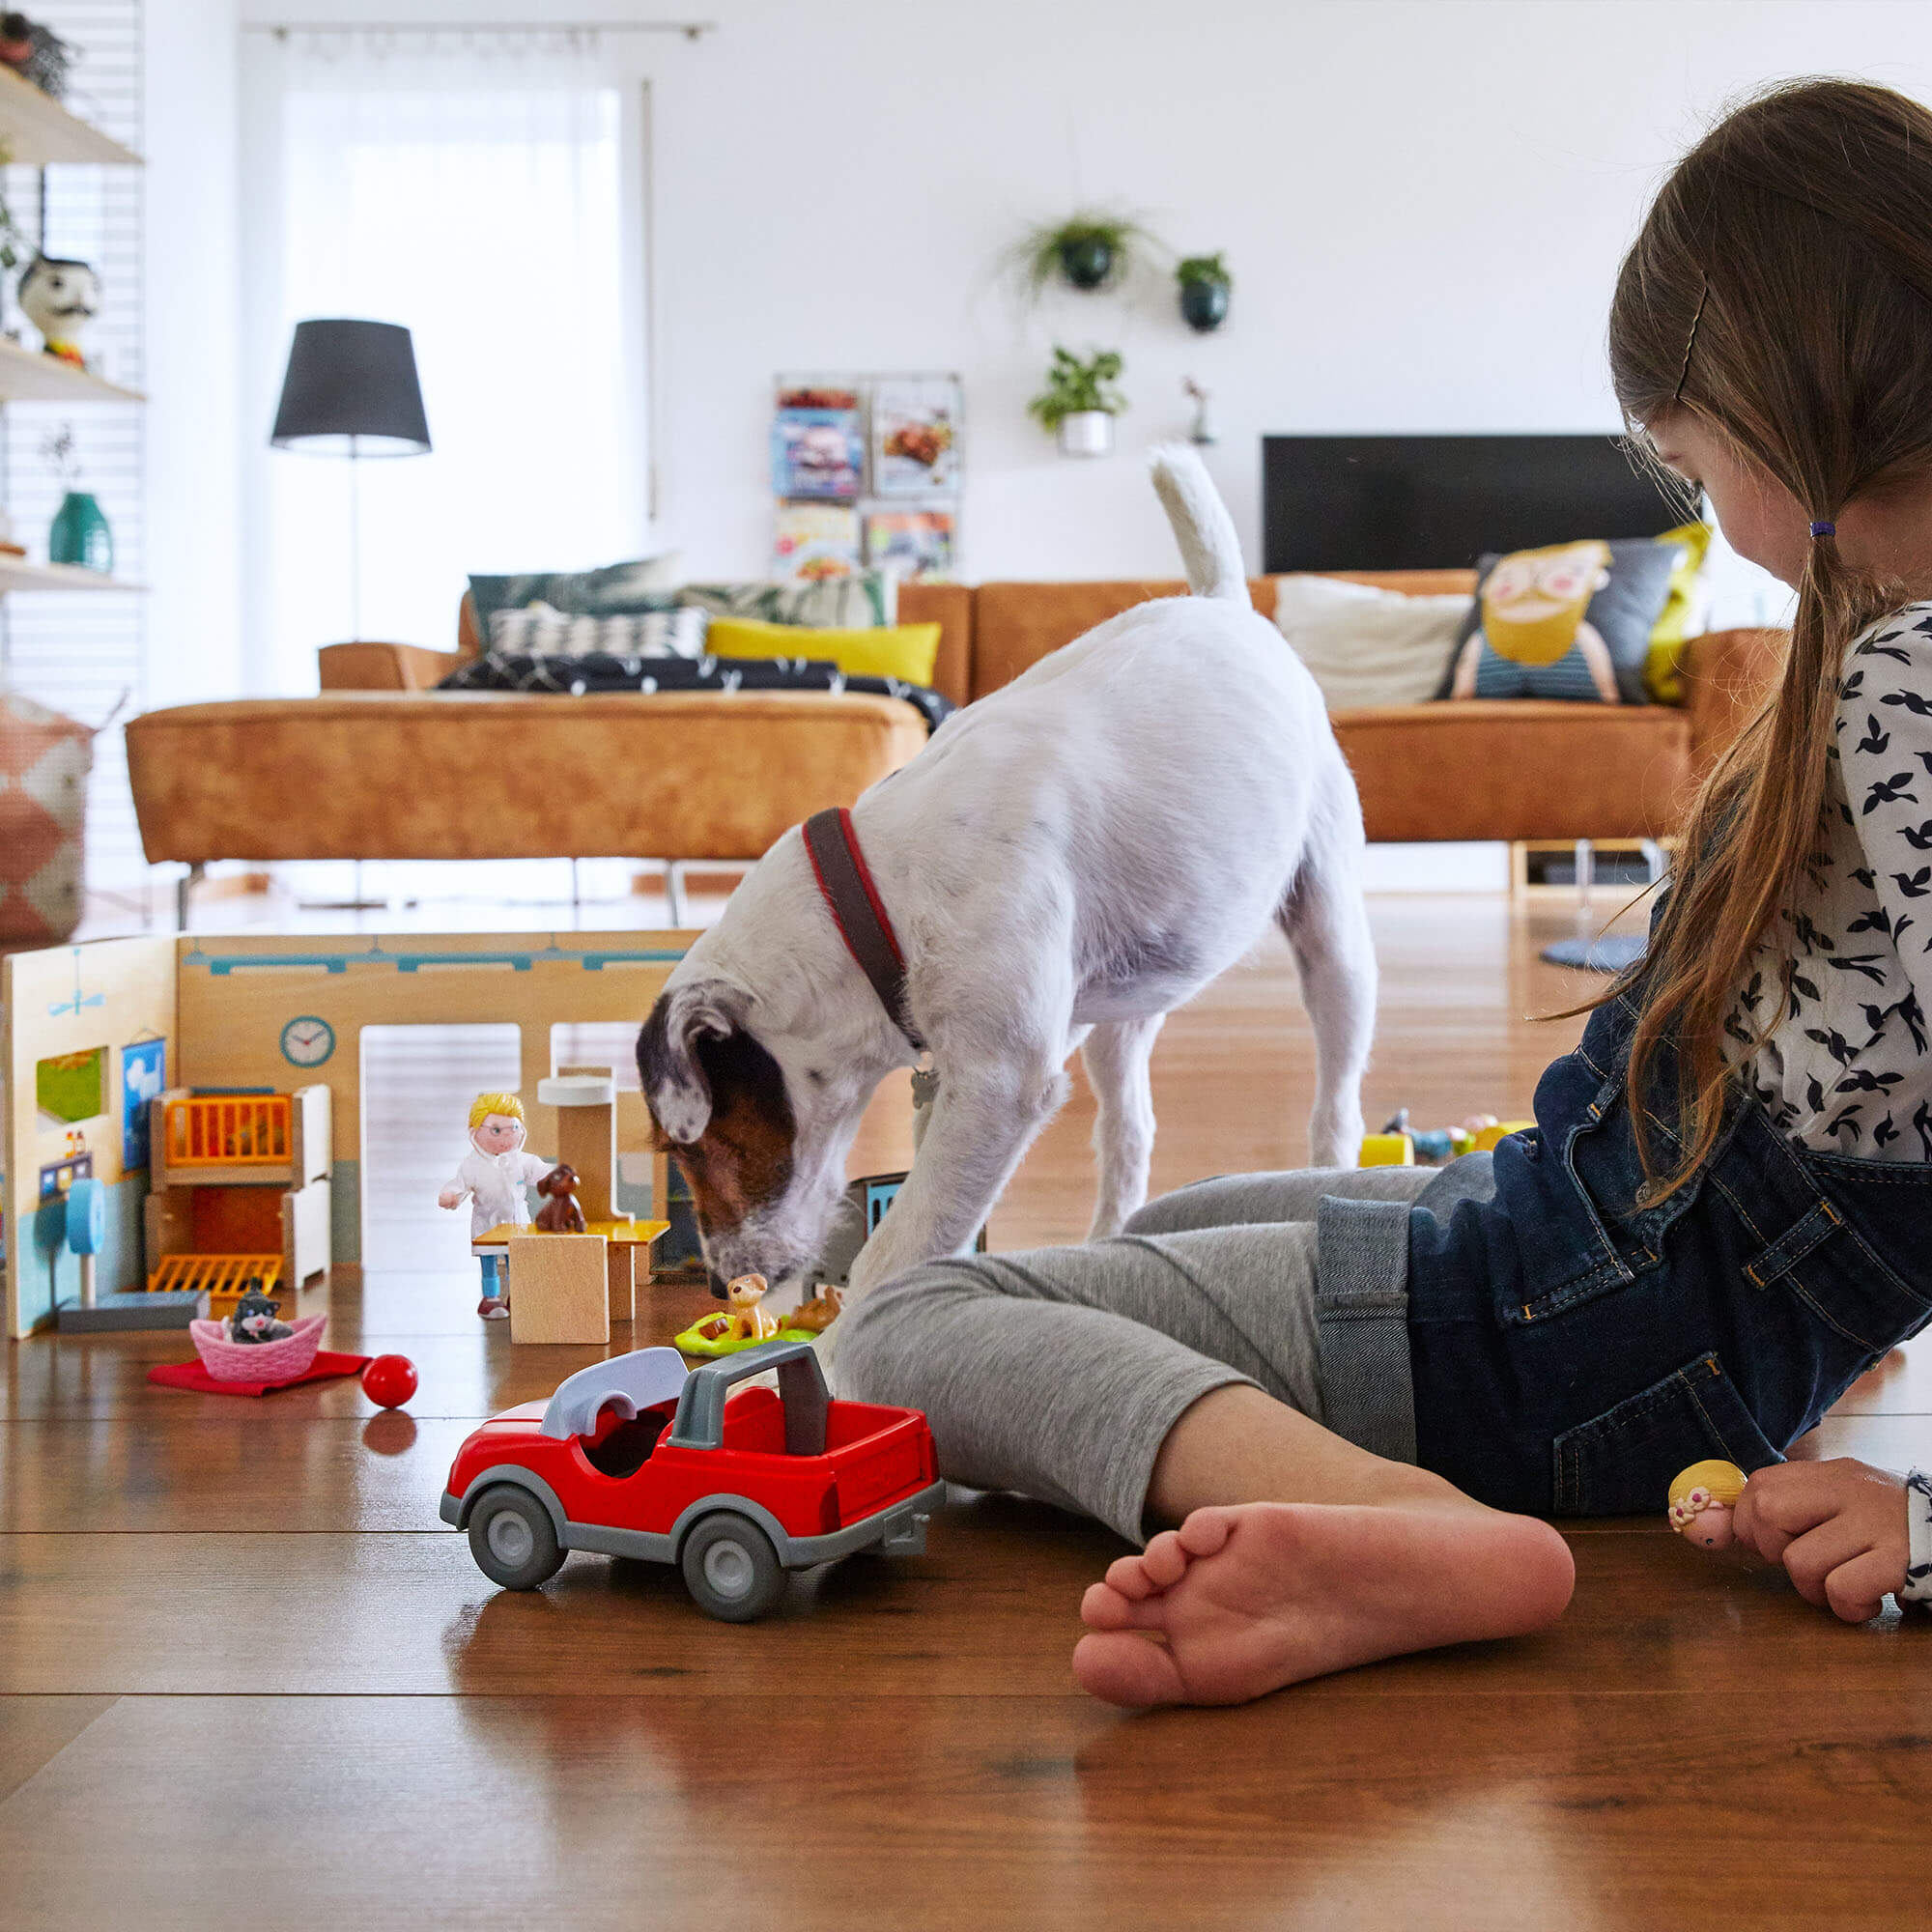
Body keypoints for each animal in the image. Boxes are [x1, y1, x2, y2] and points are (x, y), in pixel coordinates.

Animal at [641, 444, 1383, 1306]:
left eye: (690, 1147)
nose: (721, 1285)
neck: (879, 897)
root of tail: (1227, 605)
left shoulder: (999, 1088)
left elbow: (898, 1246)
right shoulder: (967, 1079)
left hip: (1330, 940)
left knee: (1335, 1102)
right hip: (1118, 1007)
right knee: (1128, 1129)